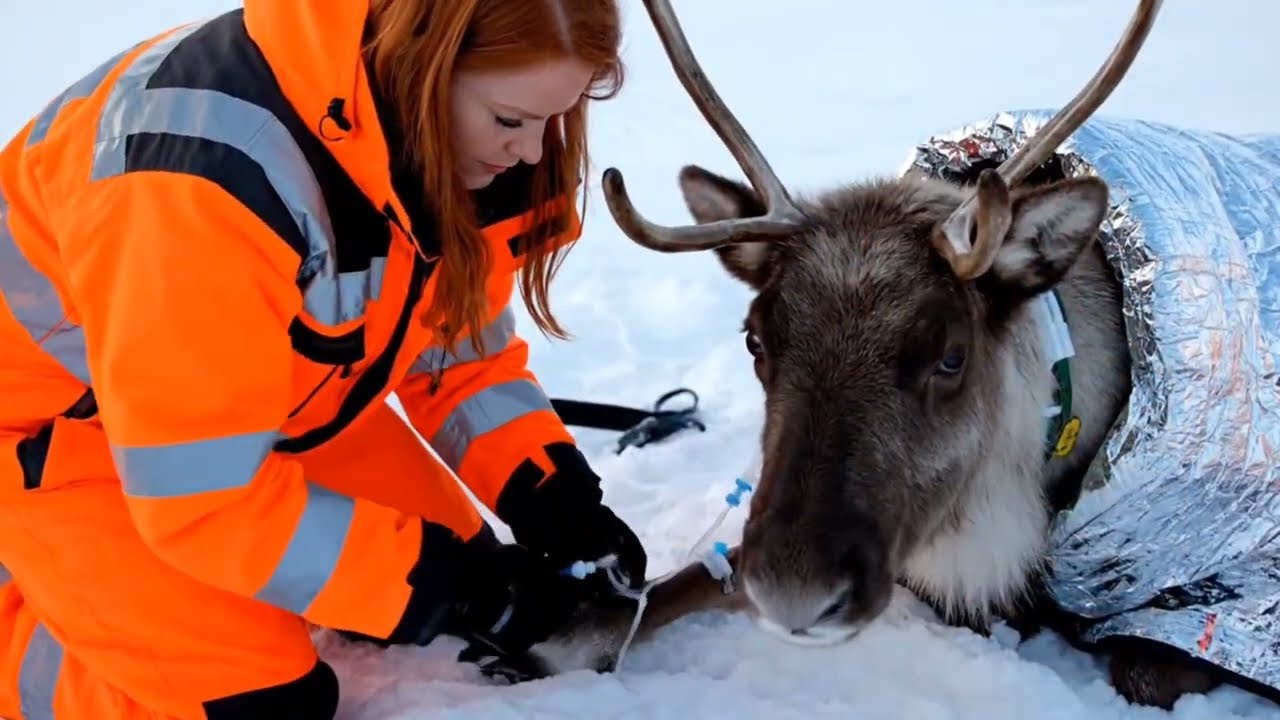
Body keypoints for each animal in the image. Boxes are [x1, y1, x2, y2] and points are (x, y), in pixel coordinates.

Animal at [476, 0, 1236, 710]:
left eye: (951, 357)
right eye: (755, 339)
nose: (793, 594)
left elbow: (1140, 666)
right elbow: (681, 580)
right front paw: (562, 635)